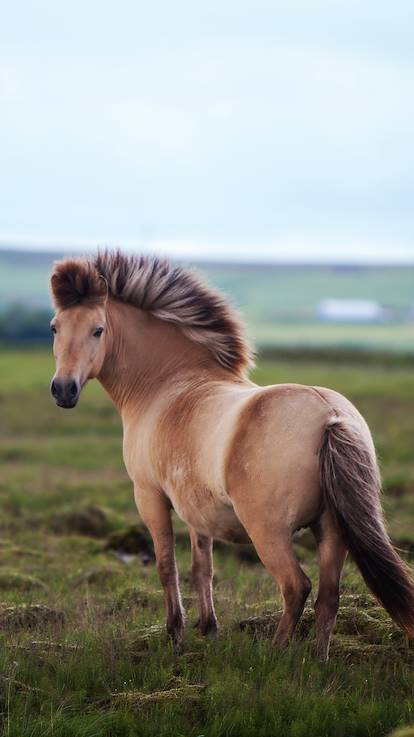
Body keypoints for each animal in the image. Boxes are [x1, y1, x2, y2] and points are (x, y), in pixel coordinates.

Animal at [49, 250, 414, 660]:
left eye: (98, 329)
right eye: (54, 327)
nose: (63, 389)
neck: (169, 386)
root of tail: (329, 415)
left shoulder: (150, 496)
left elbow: (166, 565)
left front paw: (174, 633)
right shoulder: (195, 508)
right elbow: (201, 567)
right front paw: (208, 628)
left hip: (269, 531)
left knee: (296, 586)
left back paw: (275, 653)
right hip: (331, 530)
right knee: (328, 597)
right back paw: (318, 660)